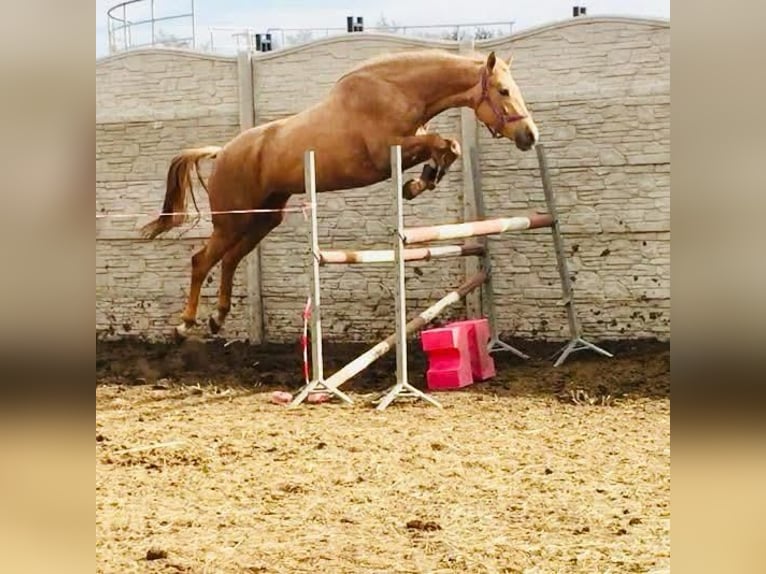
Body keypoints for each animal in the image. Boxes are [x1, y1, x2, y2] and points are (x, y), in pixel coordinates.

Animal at [141, 49, 539, 338]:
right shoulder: (387, 153)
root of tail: (222, 151)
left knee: (228, 261)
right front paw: (418, 182)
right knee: (201, 261)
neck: (397, 90)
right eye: (504, 91)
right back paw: (185, 324)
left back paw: (217, 319)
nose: (530, 136)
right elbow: (443, 142)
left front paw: (420, 182)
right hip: (232, 222)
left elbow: (447, 146)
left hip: (262, 220)